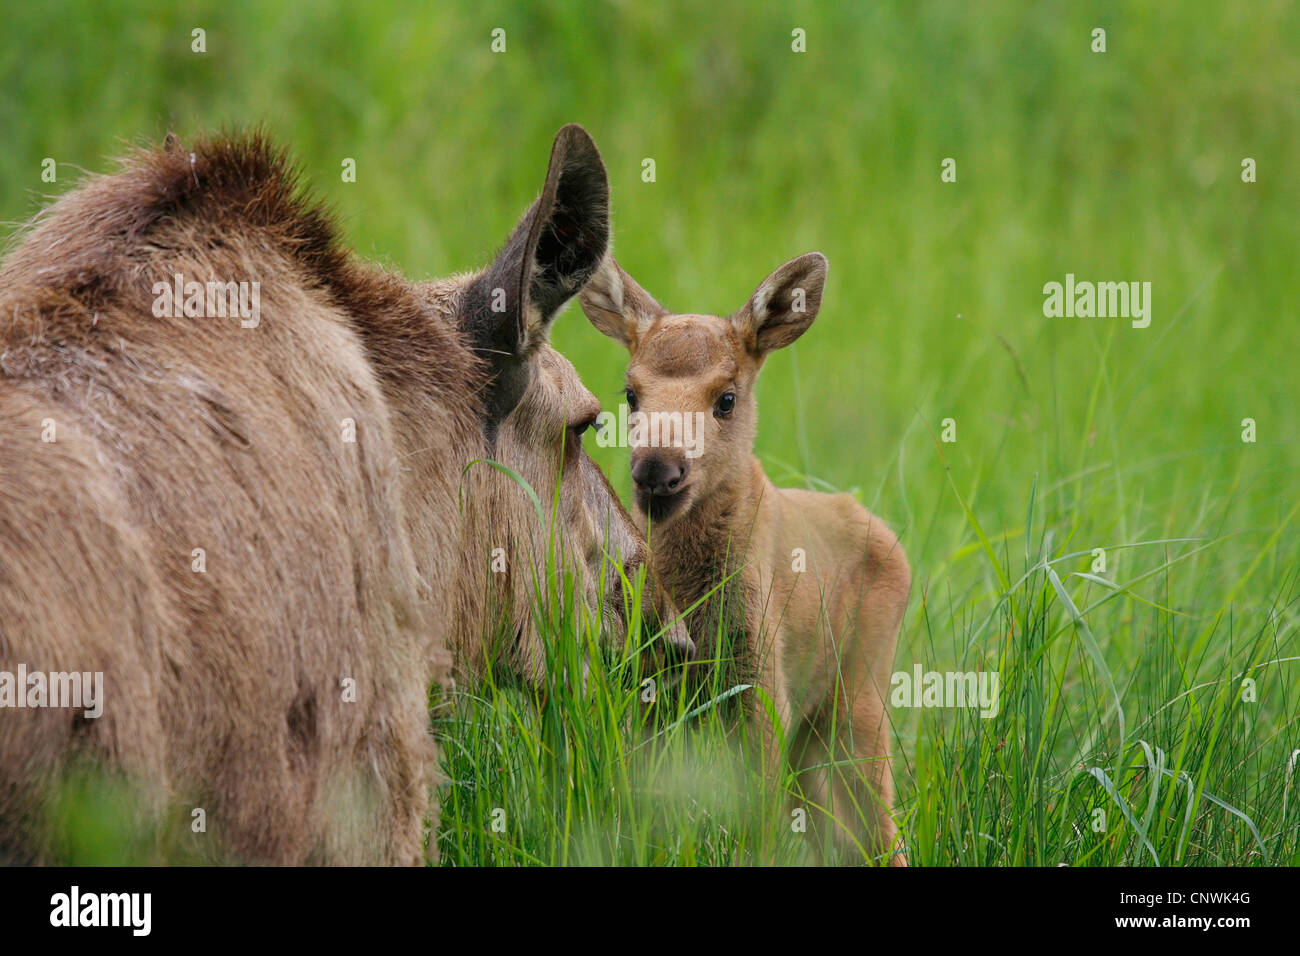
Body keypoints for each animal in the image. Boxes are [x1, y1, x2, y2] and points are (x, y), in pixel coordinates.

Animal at [585, 251, 909, 863]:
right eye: (630, 393)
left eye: (726, 399)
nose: (657, 471)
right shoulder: (648, 683)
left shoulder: (762, 683)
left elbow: (755, 823)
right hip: (815, 730)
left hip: (860, 695)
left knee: (880, 824)